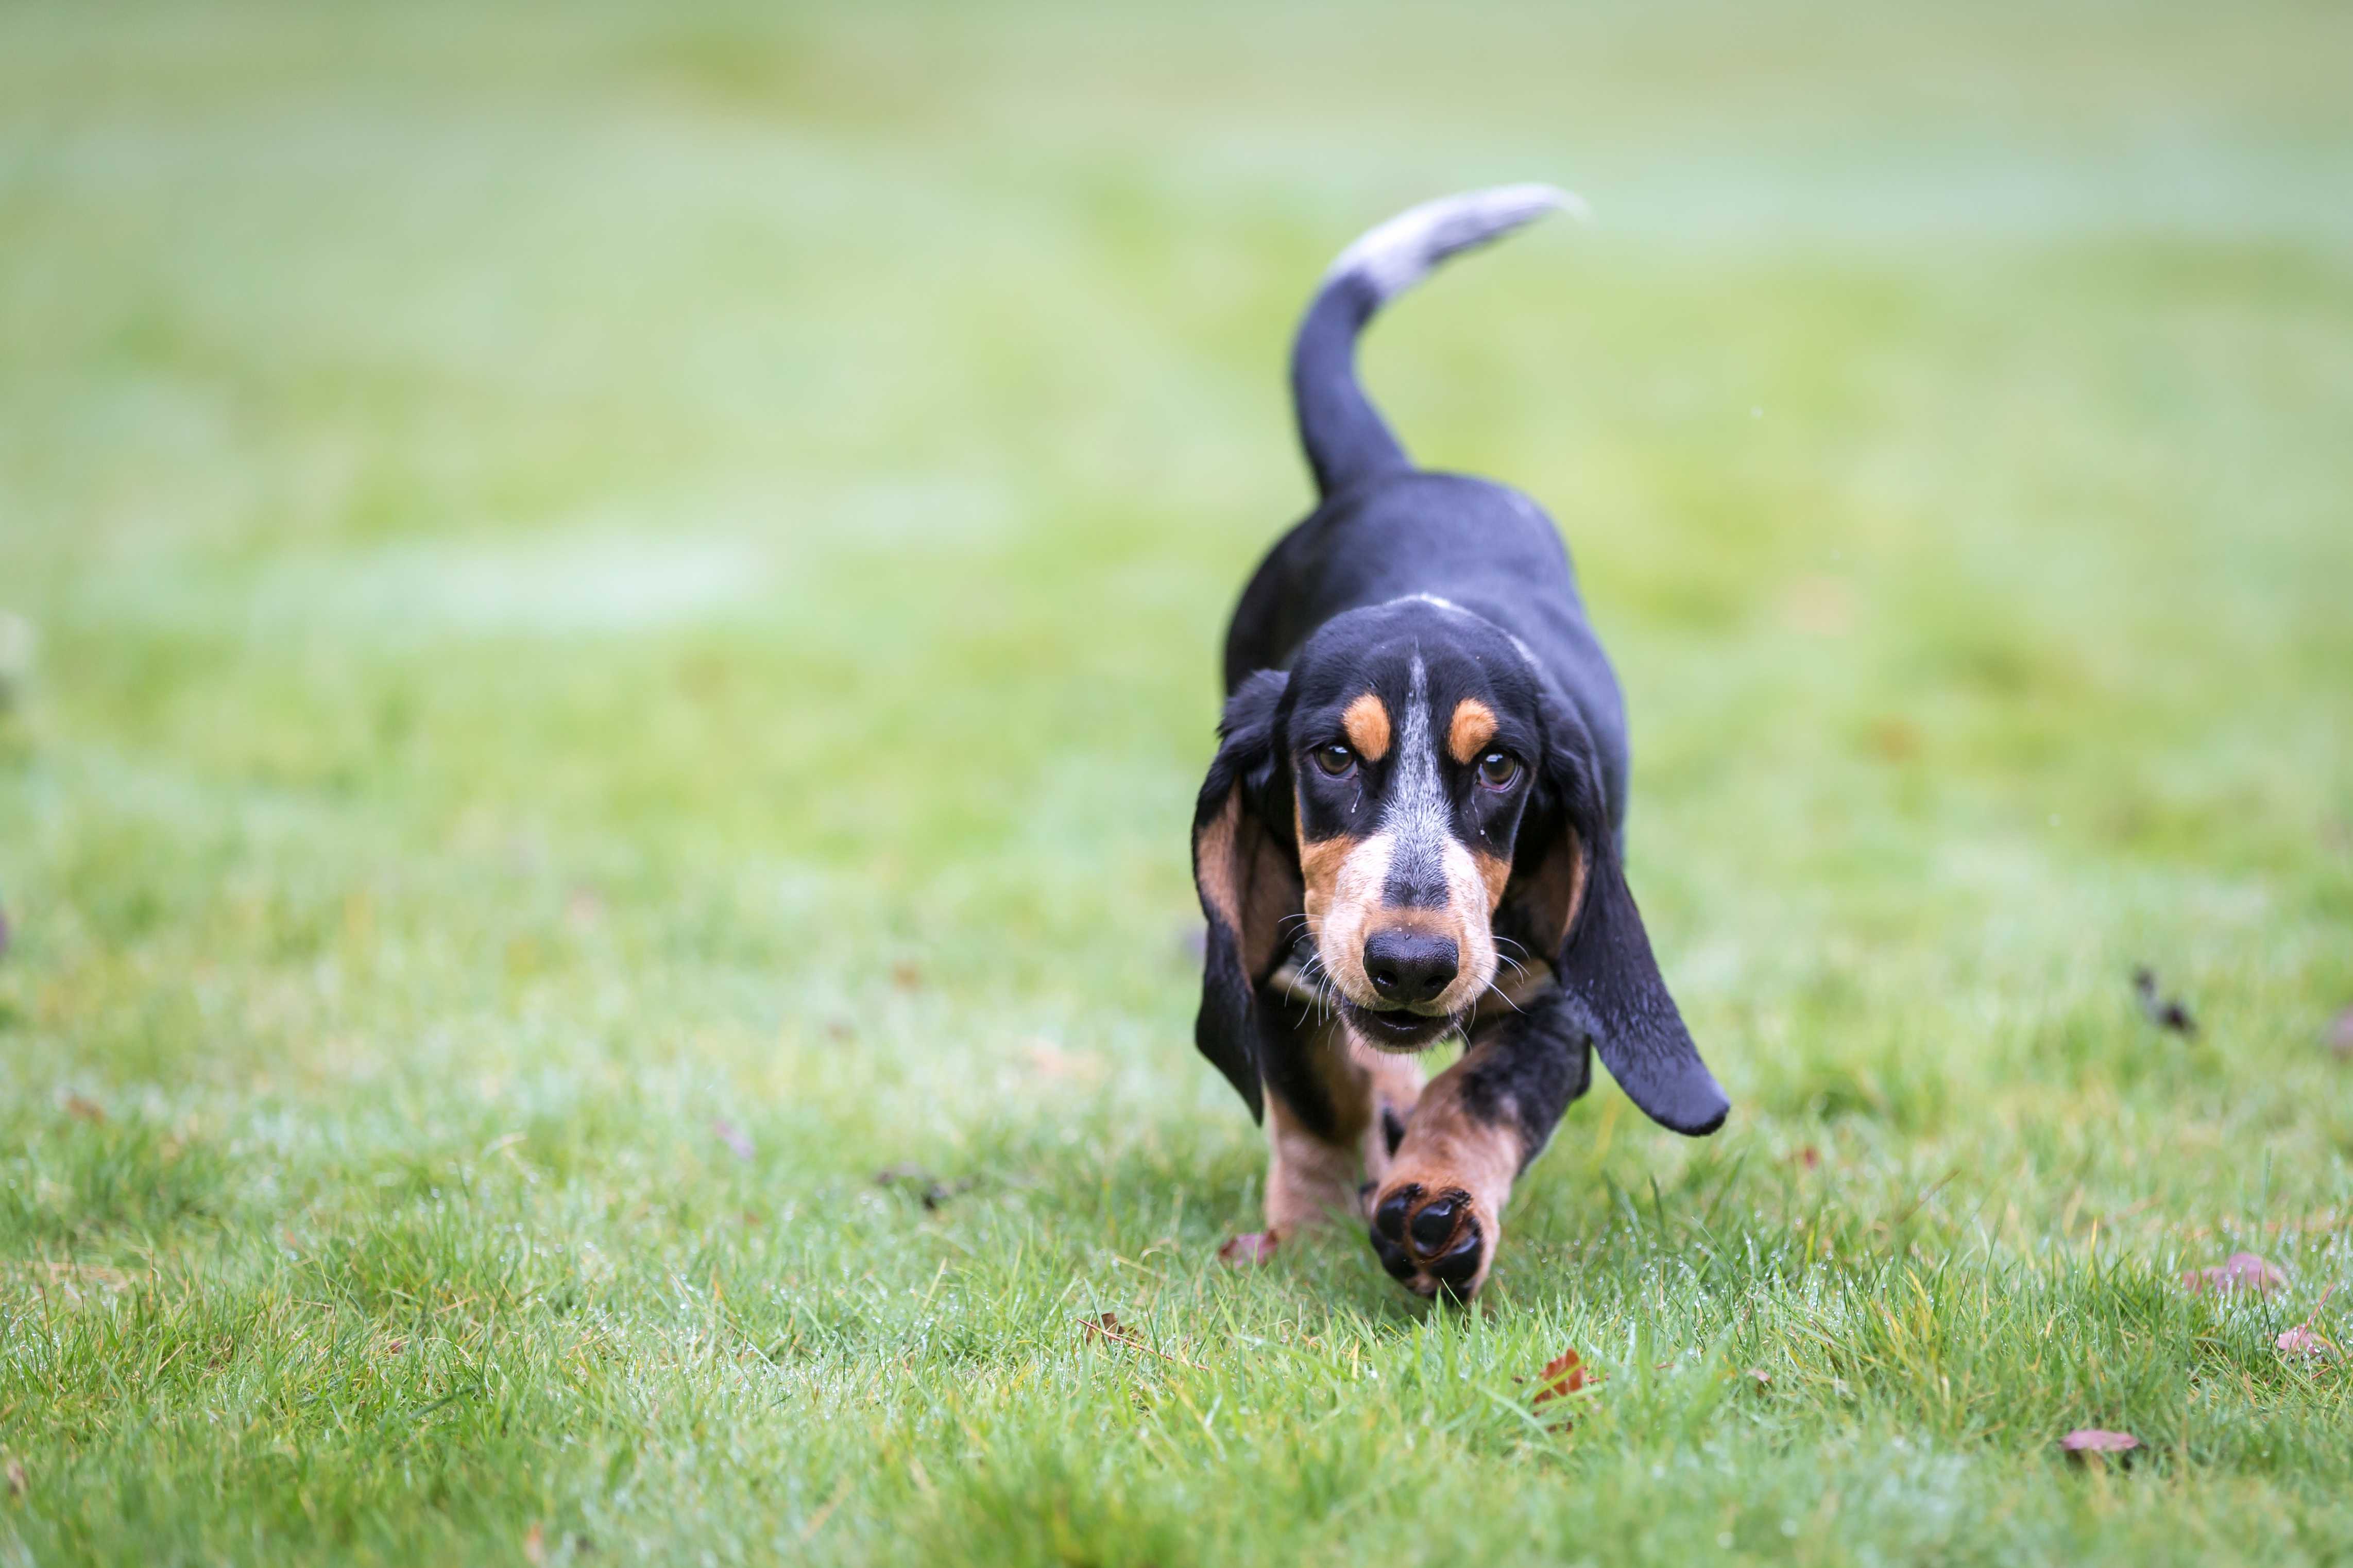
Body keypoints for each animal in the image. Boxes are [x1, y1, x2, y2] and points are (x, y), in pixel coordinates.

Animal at [1195, 184, 1732, 1298]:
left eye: (1499, 768)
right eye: (1332, 757)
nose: (1410, 963)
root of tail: (1396, 472)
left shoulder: (1561, 1001)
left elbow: (1479, 1095)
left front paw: (1434, 1203)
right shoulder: (1272, 953)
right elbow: (1316, 1102)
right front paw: (1307, 1227)